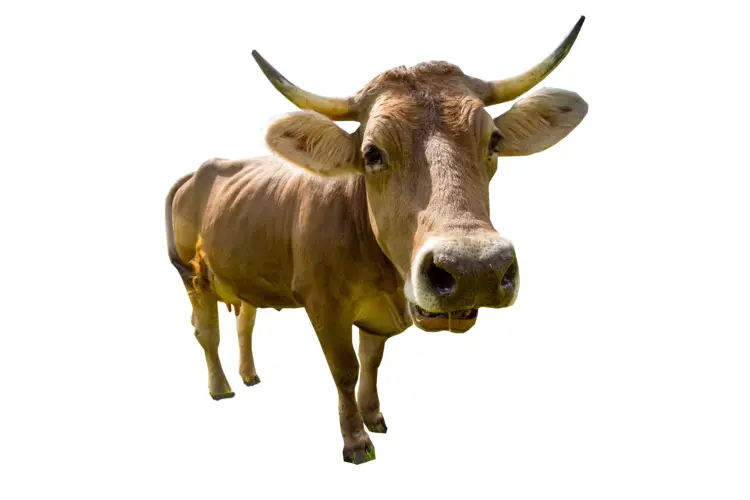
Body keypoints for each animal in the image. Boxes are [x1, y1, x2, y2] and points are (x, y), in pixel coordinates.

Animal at [165, 16, 588, 464]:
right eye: (372, 153)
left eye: (493, 140)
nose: (475, 269)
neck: (383, 275)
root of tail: (199, 170)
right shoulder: (322, 303)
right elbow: (345, 369)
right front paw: (355, 440)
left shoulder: (376, 315)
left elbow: (372, 361)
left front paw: (374, 416)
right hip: (192, 276)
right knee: (206, 330)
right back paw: (220, 388)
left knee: (245, 320)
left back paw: (249, 376)